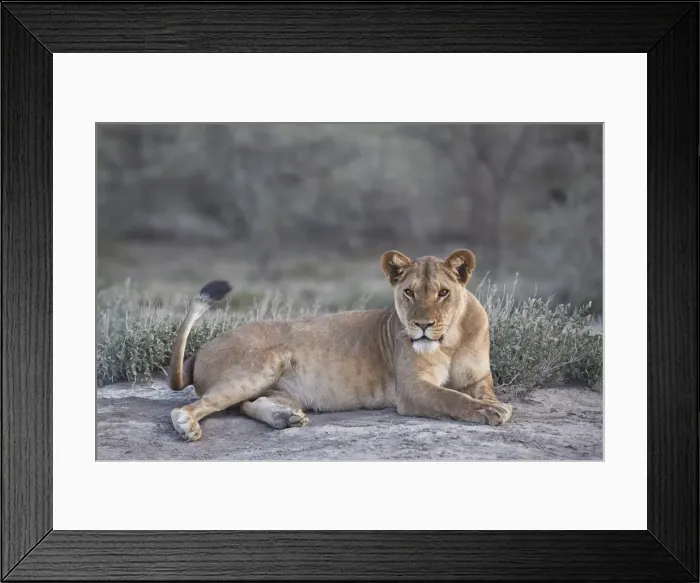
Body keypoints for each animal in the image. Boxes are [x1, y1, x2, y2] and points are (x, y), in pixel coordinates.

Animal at [168, 249, 513, 441]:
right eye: (409, 292)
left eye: (443, 293)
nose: (423, 325)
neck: (449, 341)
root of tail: (201, 350)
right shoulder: (412, 389)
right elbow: (451, 398)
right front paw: (490, 411)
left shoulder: (480, 378)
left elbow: (480, 392)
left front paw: (494, 405)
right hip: (260, 366)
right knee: (191, 407)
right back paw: (187, 427)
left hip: (276, 388)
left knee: (248, 404)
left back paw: (285, 418)